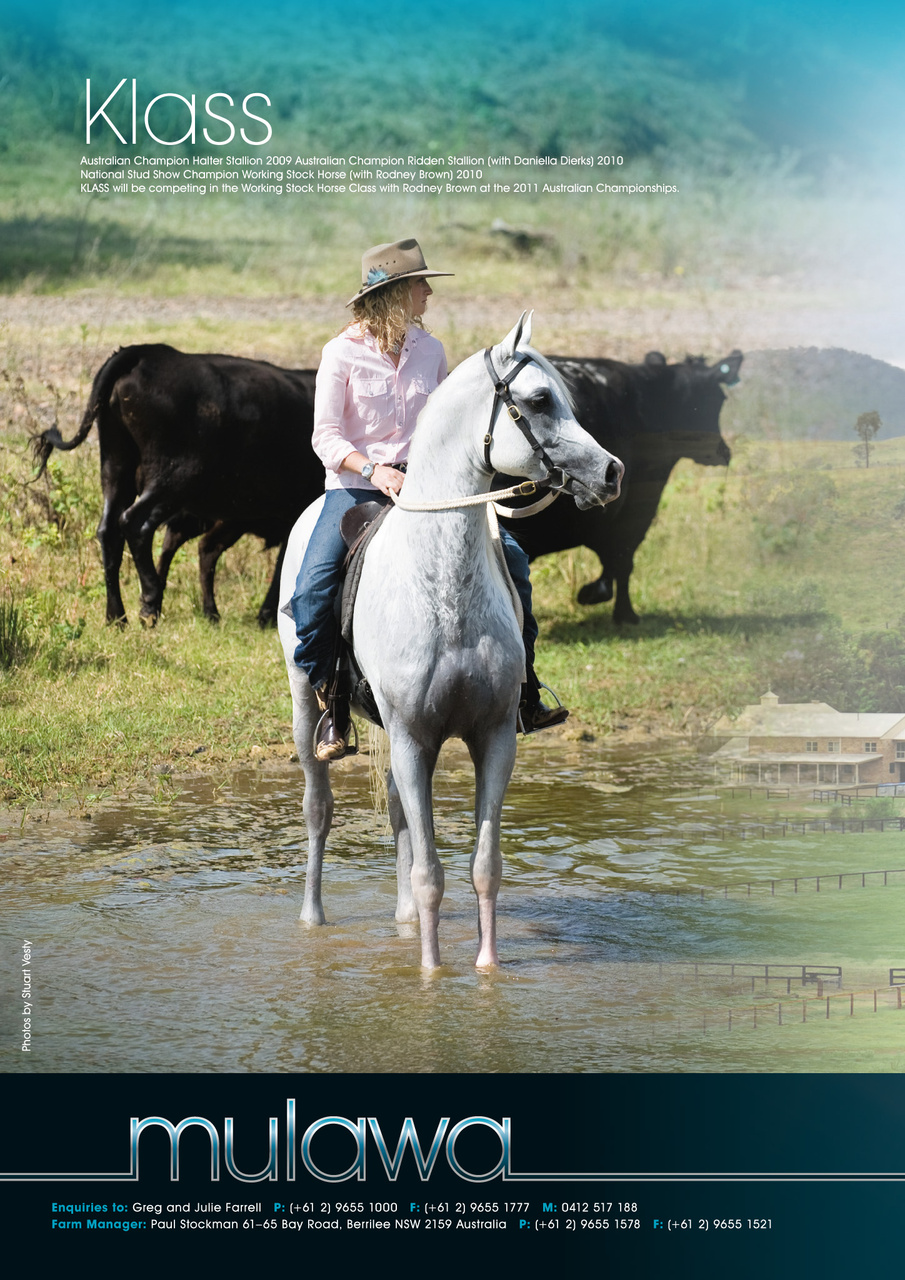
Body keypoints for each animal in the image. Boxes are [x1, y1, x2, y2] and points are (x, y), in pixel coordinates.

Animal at [277, 314, 624, 970]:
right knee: (318, 808)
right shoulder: (415, 740)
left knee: (396, 816)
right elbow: (431, 873)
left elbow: (482, 866)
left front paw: (486, 970)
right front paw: (432, 975)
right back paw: (311, 917)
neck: (442, 589)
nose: (612, 472)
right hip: (307, 702)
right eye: (540, 400)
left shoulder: (491, 738)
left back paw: (404, 922)